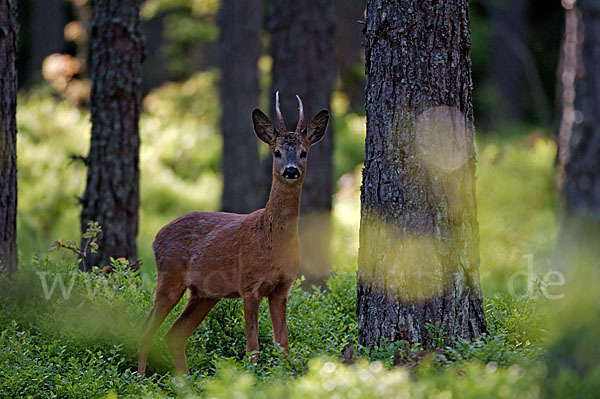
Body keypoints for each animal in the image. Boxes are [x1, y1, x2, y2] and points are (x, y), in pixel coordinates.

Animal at [137, 92, 328, 376]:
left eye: (304, 152)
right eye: (277, 152)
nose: (291, 170)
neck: (270, 239)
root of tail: (156, 237)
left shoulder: (282, 287)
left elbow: (282, 345)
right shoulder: (248, 285)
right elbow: (252, 348)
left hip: (204, 294)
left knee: (174, 335)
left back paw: (185, 381)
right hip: (170, 277)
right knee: (146, 330)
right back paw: (140, 378)